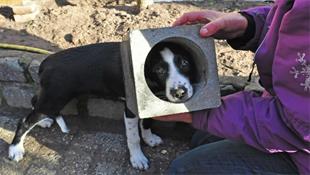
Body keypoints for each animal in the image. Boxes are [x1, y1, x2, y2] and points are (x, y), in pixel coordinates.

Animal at [8, 41, 195, 170]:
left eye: (185, 63)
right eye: (159, 70)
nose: (180, 92)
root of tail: (46, 61)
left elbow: (147, 122)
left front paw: (149, 139)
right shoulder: (131, 109)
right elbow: (133, 137)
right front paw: (137, 158)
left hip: (52, 97)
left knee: (35, 102)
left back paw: (44, 121)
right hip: (54, 97)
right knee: (24, 121)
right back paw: (16, 149)